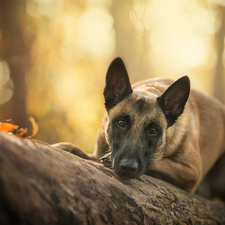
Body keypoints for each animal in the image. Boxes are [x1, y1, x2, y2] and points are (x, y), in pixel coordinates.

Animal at [51, 57, 225, 199]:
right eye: (121, 123)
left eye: (153, 130)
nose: (128, 168)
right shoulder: (96, 154)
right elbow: (79, 151)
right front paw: (63, 147)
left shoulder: (192, 173)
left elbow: (158, 162)